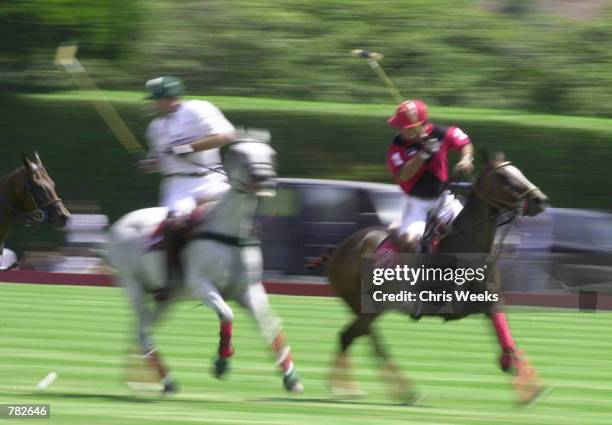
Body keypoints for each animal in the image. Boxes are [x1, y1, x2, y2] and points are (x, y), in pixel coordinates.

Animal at [109, 134, 304, 392]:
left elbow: (271, 327)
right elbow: (227, 314)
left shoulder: (250, 290)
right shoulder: (201, 285)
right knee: (143, 330)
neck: (232, 233)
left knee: (140, 329)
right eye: (240, 154)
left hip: (167, 298)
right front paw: (222, 362)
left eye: (271, 154)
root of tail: (118, 224)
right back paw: (167, 381)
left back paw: (141, 378)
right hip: (133, 285)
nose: (264, 179)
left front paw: (291, 379)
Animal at [330, 152, 548, 404]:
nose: (540, 199)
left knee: (360, 337)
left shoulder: (490, 298)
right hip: (369, 304)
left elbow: (504, 331)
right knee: (352, 337)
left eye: (518, 171)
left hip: (366, 307)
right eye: (503, 176)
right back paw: (357, 388)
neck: (466, 245)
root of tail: (340, 249)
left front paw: (527, 384)